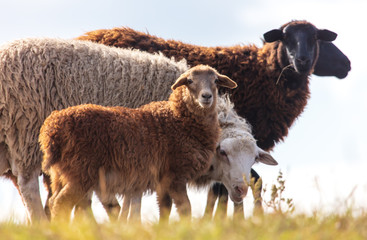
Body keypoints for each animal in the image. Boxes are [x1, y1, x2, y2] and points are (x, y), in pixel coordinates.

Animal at [38, 64, 237, 221]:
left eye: (216, 80)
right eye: (189, 81)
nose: (206, 97)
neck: (178, 119)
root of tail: (52, 127)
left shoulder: (163, 179)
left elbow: (165, 208)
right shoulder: (175, 174)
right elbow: (185, 208)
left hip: (60, 174)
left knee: (54, 202)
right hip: (81, 172)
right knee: (61, 203)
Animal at [77, 19, 342, 217]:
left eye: (316, 38)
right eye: (286, 38)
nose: (346, 64)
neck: (266, 75)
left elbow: (230, 186)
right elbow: (229, 188)